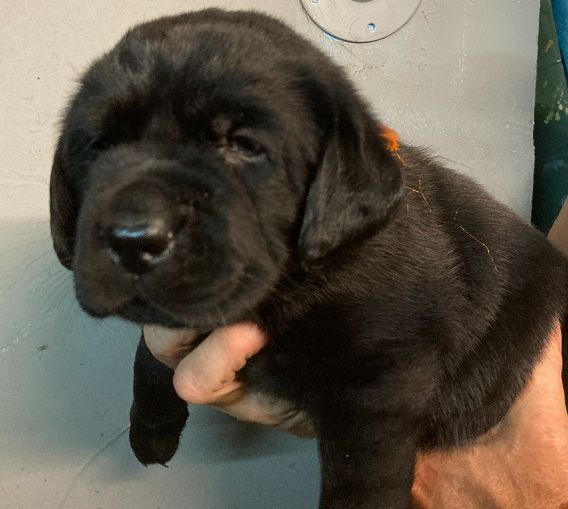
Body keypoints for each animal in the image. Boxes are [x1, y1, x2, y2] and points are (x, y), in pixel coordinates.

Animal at [49, 9, 568, 509]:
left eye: (244, 145)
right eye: (99, 147)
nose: (133, 238)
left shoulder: (379, 382)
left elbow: (362, 482)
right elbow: (149, 355)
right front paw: (151, 429)